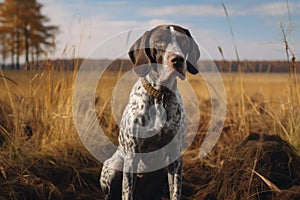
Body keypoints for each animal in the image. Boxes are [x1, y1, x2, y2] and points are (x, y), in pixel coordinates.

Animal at [99, 25, 200, 200]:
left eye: (183, 41)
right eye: (159, 41)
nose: (178, 60)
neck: (160, 96)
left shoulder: (175, 158)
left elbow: (176, 192)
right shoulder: (131, 157)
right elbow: (126, 193)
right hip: (114, 166)